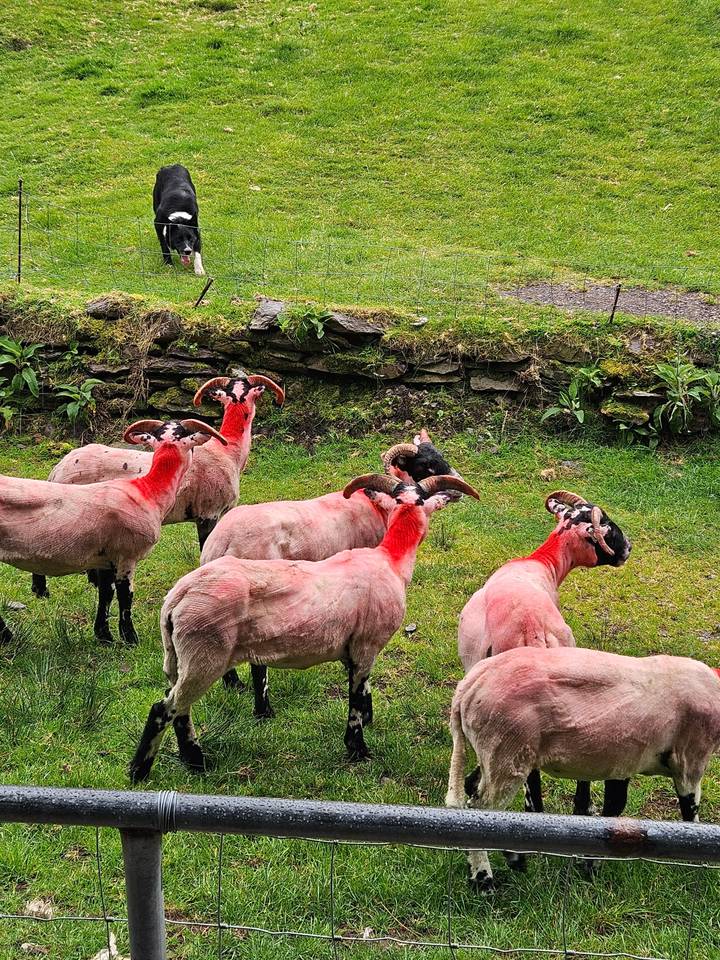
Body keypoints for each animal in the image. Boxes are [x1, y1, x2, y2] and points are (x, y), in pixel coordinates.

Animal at [0, 419, 225, 647]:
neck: (148, 489)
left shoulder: (104, 557)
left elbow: (105, 594)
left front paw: (104, 635)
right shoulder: (126, 556)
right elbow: (125, 597)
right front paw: (130, 638)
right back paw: (7, 637)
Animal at [129, 471, 480, 782]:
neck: (389, 558)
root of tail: (176, 599)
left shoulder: (355, 647)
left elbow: (363, 689)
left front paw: (368, 718)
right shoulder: (366, 645)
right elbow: (355, 697)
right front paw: (358, 750)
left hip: (178, 657)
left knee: (178, 707)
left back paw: (193, 762)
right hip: (204, 654)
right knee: (164, 708)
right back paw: (142, 771)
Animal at [446, 646, 720, 889]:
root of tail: (467, 687)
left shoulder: (623, 761)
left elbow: (613, 809)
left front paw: (590, 861)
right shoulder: (690, 759)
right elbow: (690, 812)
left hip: (494, 752)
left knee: (472, 789)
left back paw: (510, 860)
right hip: (507, 752)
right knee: (482, 811)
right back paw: (486, 879)